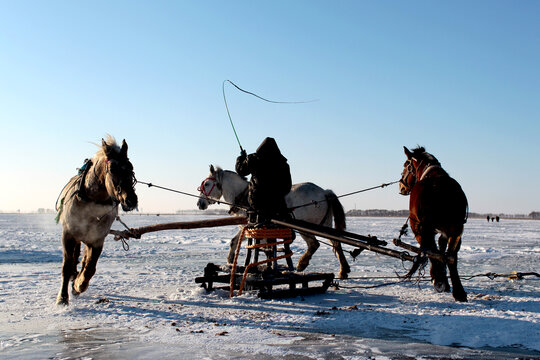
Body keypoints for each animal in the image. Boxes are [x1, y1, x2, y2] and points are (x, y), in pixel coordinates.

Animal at [55, 136, 138, 306]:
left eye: (130, 167)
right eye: (112, 168)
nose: (131, 200)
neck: (91, 201)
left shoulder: (97, 238)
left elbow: (90, 268)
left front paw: (78, 285)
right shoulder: (68, 235)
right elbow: (66, 266)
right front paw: (62, 298)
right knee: (74, 258)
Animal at [196, 165, 352, 280]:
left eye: (207, 184)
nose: (199, 203)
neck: (244, 196)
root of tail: (324, 192)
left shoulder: (254, 226)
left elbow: (264, 248)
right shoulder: (247, 227)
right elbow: (235, 242)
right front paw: (230, 262)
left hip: (306, 226)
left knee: (315, 244)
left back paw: (303, 264)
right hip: (325, 224)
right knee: (335, 243)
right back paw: (343, 270)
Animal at [396, 146, 468, 300]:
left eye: (405, 165)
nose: (401, 186)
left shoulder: (419, 227)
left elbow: (433, 251)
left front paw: (438, 279)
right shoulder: (446, 231)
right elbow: (441, 250)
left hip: (424, 227)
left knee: (434, 252)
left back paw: (441, 281)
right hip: (456, 228)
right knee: (451, 256)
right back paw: (458, 291)